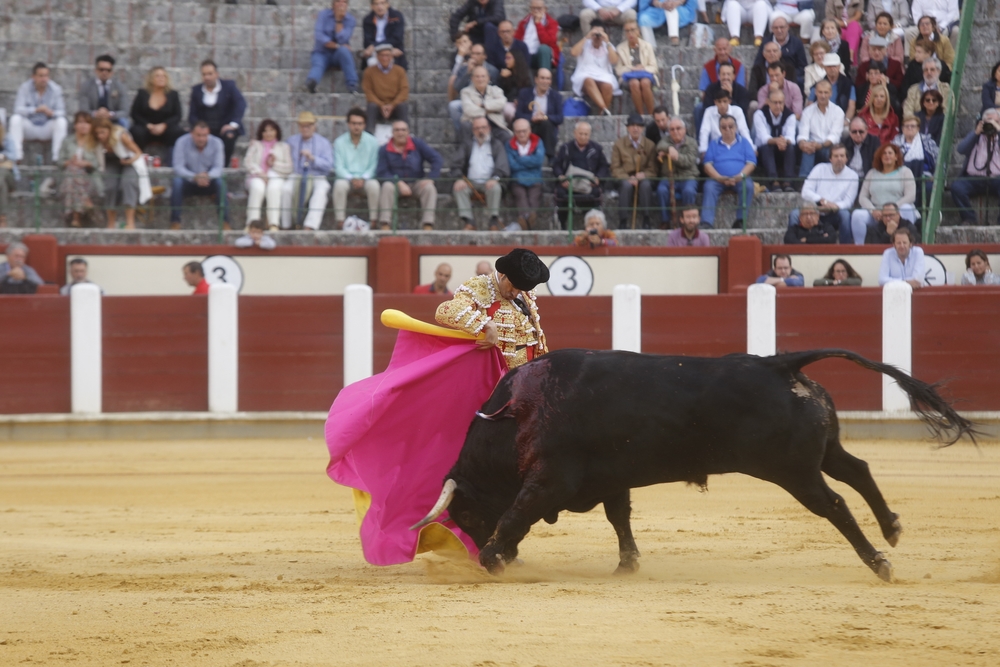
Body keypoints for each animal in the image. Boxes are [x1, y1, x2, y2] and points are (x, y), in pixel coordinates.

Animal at [414, 348, 976, 580]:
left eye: (467, 515)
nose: (476, 550)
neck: (517, 414)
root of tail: (779, 363)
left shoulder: (552, 479)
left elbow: (518, 513)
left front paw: (492, 558)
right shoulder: (609, 478)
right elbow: (620, 518)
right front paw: (628, 564)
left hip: (792, 469)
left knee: (834, 503)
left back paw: (879, 562)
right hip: (821, 451)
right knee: (857, 469)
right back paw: (892, 529)